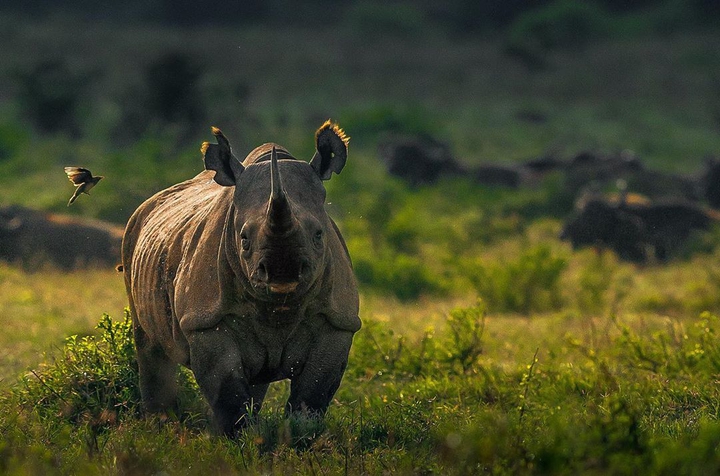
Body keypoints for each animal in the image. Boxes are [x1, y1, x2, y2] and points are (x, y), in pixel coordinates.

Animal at [121, 121, 360, 436]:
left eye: (319, 235)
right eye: (244, 238)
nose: (282, 275)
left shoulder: (338, 321)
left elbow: (312, 395)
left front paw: (299, 438)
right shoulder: (205, 321)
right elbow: (229, 394)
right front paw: (240, 441)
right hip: (131, 235)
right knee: (150, 347)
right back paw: (159, 428)